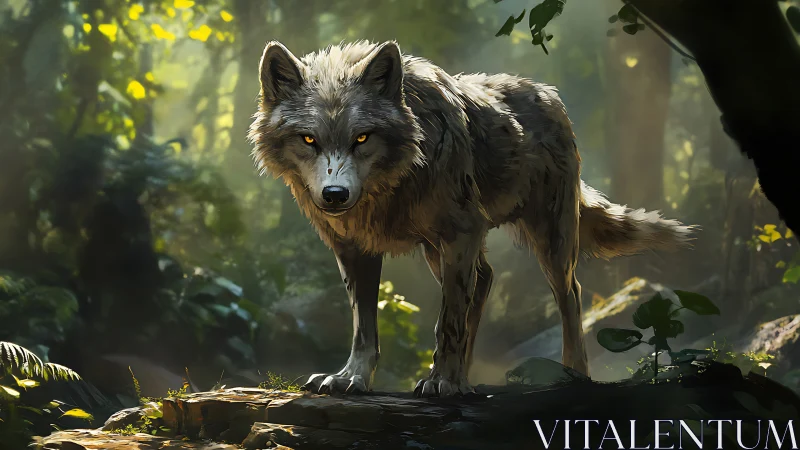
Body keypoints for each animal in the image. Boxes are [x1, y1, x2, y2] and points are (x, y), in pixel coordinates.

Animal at [248, 40, 693, 398]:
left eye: (362, 137)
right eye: (309, 139)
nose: (335, 195)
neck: (393, 184)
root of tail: (548, 93)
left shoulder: (460, 234)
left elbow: (448, 321)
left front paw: (443, 382)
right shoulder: (354, 249)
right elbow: (364, 327)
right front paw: (352, 378)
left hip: (546, 239)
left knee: (570, 294)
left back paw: (571, 375)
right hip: (438, 252)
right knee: (485, 281)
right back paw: (466, 376)